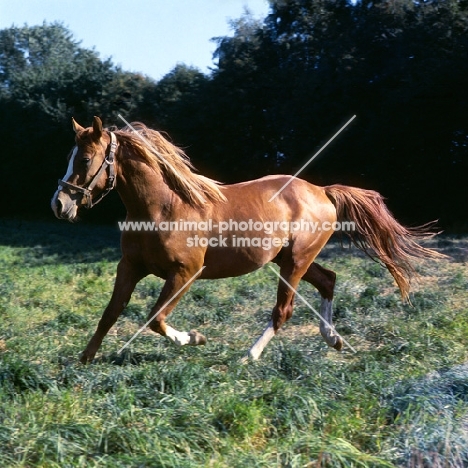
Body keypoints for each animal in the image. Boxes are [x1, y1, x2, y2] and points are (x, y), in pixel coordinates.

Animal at [51, 115, 442, 364]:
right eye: (70, 156)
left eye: (85, 159)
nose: (59, 204)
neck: (164, 206)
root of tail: (323, 191)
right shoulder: (130, 267)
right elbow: (110, 312)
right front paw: (84, 358)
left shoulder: (185, 273)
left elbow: (155, 319)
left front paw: (195, 338)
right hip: (290, 260)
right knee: (328, 280)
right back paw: (333, 338)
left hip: (296, 261)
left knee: (283, 310)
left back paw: (249, 355)